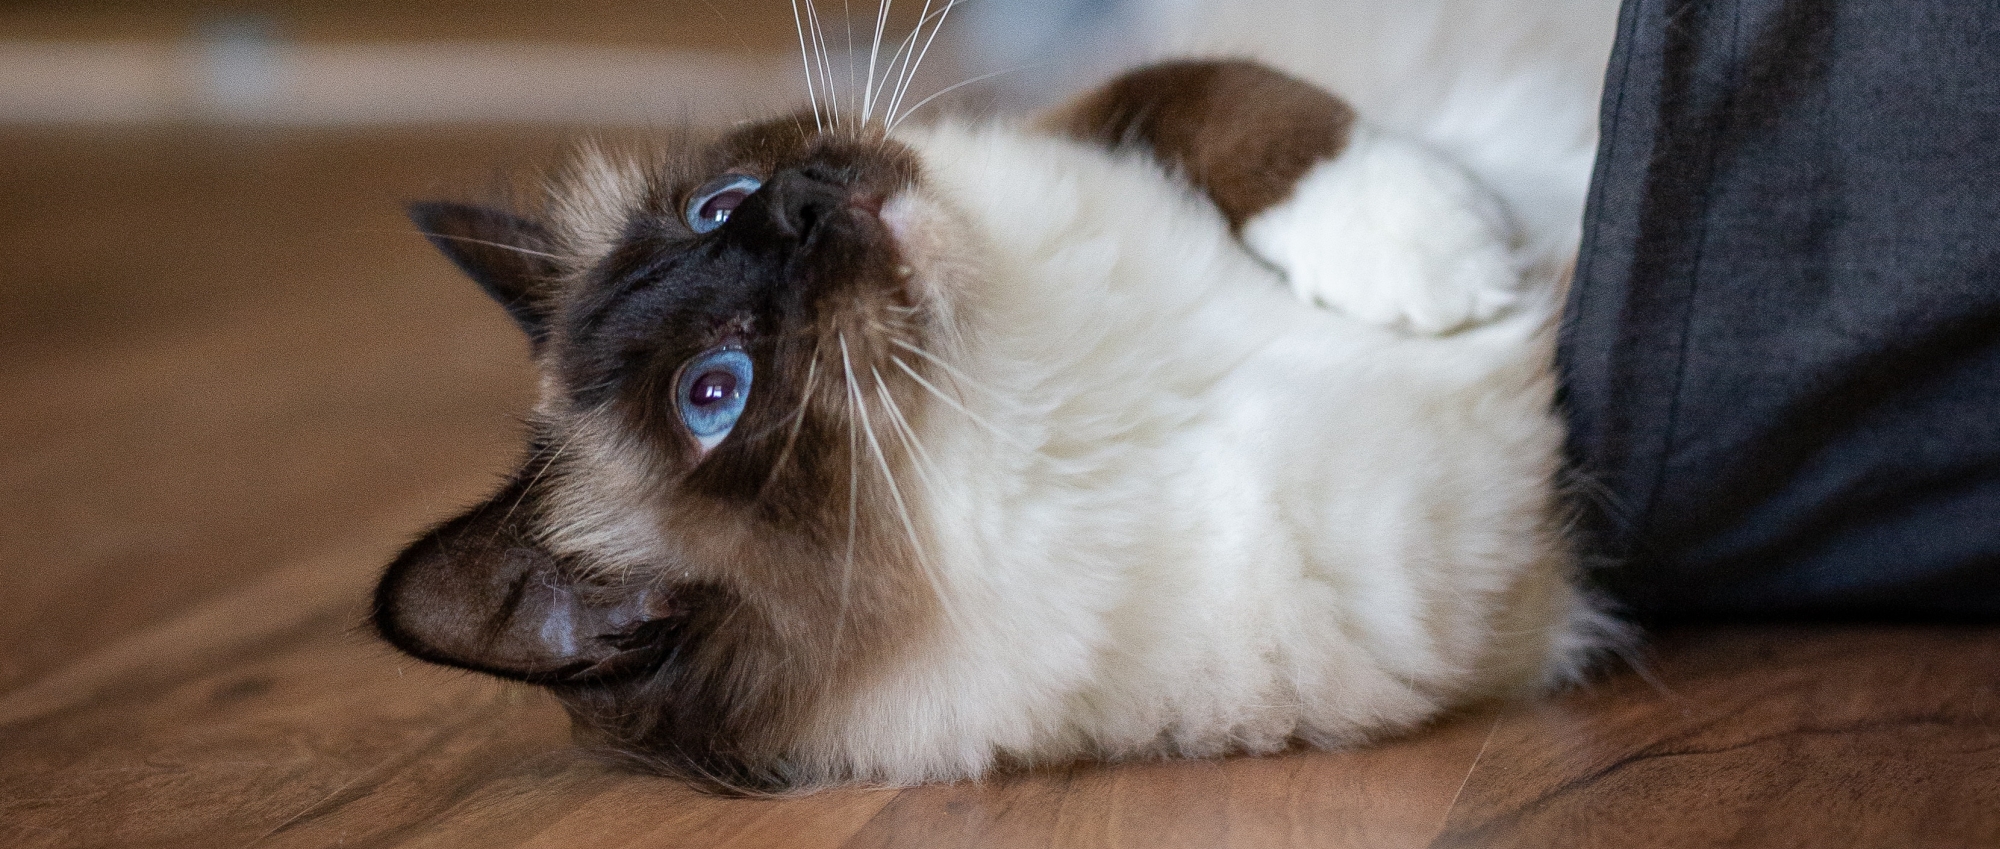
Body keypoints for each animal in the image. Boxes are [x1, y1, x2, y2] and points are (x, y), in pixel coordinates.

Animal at [376, 54, 1616, 796]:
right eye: (711, 395)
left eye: (714, 210)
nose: (798, 206)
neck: (1031, 378)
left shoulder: (1113, 122)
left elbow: (1213, 88)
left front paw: (1417, 247)